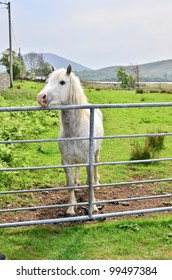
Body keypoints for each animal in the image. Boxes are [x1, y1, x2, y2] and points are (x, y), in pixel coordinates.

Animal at [36, 65, 103, 214]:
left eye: (62, 82)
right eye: (47, 81)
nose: (41, 97)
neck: (74, 131)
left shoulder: (89, 160)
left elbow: (89, 183)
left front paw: (93, 207)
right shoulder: (66, 162)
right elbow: (70, 184)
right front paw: (71, 208)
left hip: (96, 153)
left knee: (96, 165)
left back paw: (97, 183)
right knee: (77, 167)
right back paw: (78, 182)